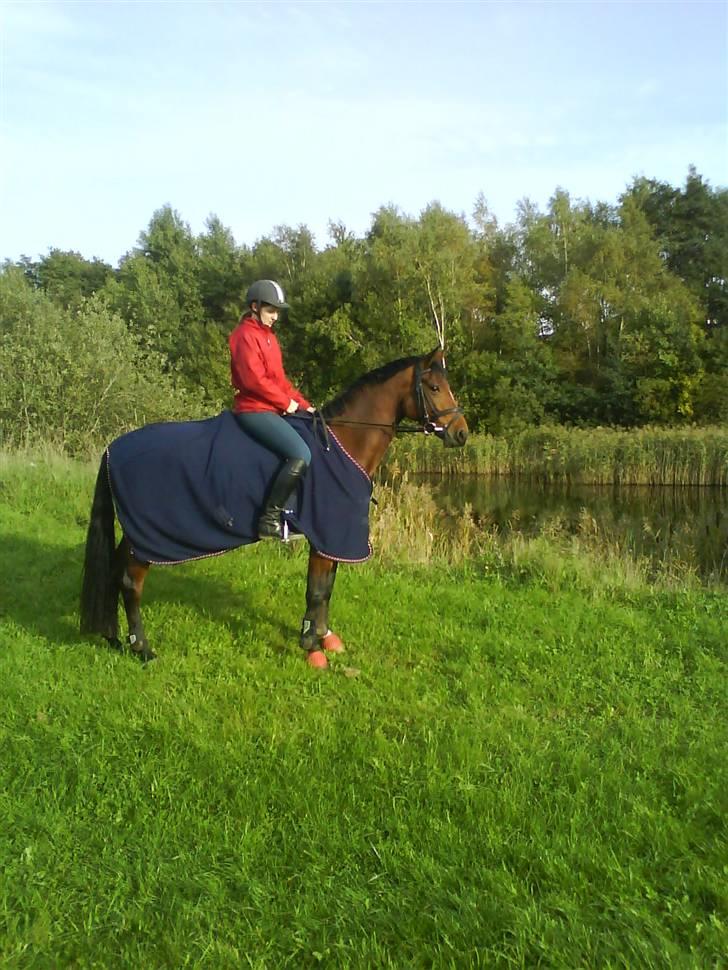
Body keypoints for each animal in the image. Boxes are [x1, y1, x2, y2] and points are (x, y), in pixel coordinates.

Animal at [78, 344, 466, 668]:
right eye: (434, 388)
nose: (461, 433)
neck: (343, 443)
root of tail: (114, 449)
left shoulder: (330, 538)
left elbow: (326, 588)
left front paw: (325, 638)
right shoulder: (326, 534)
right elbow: (317, 589)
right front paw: (312, 648)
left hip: (134, 533)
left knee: (114, 572)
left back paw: (113, 637)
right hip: (148, 538)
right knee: (131, 583)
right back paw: (142, 648)